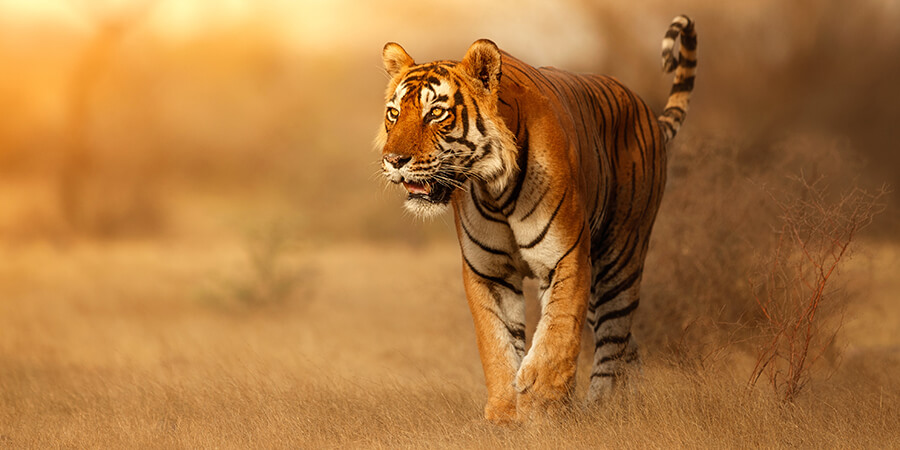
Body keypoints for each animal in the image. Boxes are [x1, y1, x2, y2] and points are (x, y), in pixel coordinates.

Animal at [375, 15, 697, 423]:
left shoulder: (566, 257)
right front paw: (504, 413)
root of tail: (647, 112)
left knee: (613, 337)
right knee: (628, 344)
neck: (494, 188)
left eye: (436, 113)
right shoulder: (489, 271)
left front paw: (542, 404)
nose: (393, 160)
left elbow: (557, 332)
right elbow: (496, 342)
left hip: (619, 258)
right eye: (394, 113)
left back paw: (602, 407)